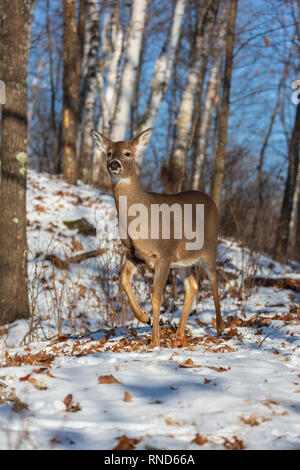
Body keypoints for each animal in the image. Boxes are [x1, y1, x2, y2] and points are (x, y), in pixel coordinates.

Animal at [90, 126, 224, 346]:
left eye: (128, 153)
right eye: (108, 152)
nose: (114, 164)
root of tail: (211, 200)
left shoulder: (165, 253)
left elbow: (156, 297)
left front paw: (154, 342)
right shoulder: (134, 253)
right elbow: (123, 280)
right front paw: (144, 318)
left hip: (209, 249)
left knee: (214, 278)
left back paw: (220, 327)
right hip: (182, 261)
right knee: (192, 285)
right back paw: (179, 334)